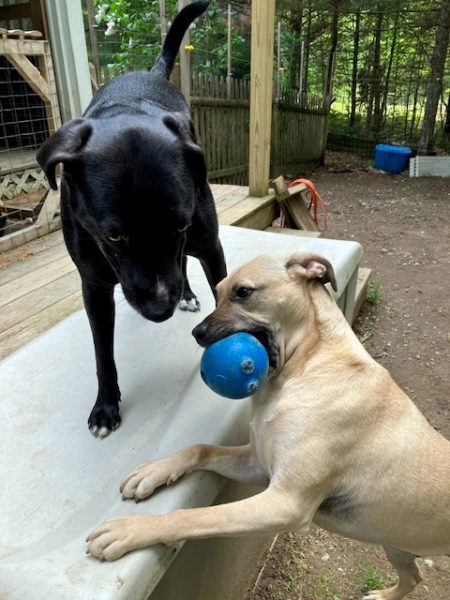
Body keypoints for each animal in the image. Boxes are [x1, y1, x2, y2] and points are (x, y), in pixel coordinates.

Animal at [36, 2, 225, 438]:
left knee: (183, 263)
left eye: (180, 226)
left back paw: (188, 292)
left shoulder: (208, 244)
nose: (159, 310)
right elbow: (102, 353)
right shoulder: (94, 287)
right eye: (114, 236)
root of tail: (150, 73)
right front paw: (105, 406)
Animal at [85, 254, 450, 600]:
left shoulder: (284, 502)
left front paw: (131, 530)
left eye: (243, 292)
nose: (196, 333)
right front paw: (154, 472)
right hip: (396, 544)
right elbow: (199, 448)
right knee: (414, 577)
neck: (307, 366)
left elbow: (196, 517)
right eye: (218, 291)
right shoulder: (257, 464)